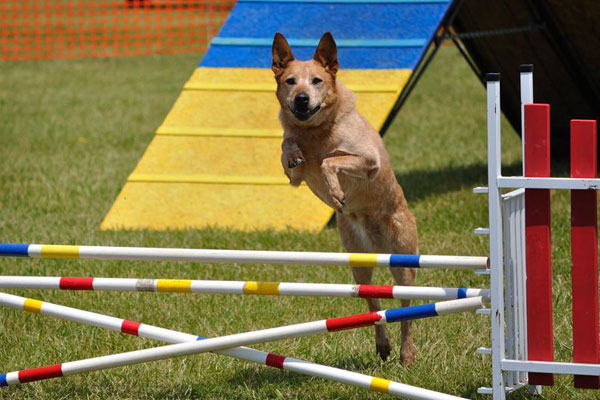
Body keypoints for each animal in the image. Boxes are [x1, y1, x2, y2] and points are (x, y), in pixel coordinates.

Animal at [272, 31, 418, 362]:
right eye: (290, 81)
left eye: (316, 80)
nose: (301, 98)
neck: (316, 131)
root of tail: (378, 243)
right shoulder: (294, 178)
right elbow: (288, 146)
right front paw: (294, 151)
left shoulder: (368, 160)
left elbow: (331, 160)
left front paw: (337, 191)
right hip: (358, 261)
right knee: (374, 304)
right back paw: (383, 346)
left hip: (402, 259)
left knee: (406, 308)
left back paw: (406, 354)